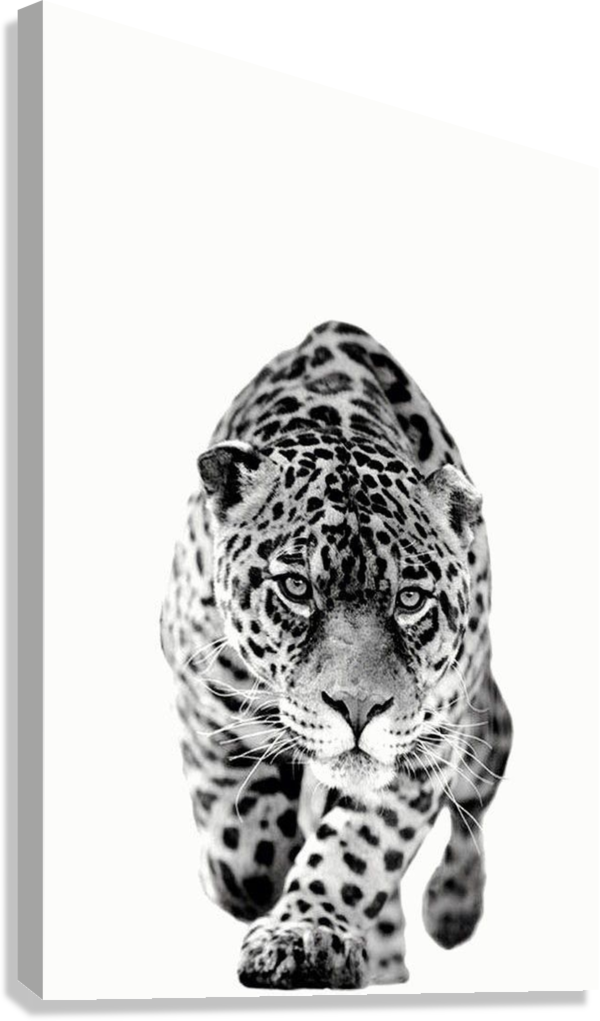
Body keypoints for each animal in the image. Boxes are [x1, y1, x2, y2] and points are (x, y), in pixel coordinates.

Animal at [160, 321, 513, 990]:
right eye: (297, 588)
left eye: (410, 599)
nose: (358, 709)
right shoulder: (198, 677)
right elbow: (240, 832)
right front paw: (247, 872)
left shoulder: (427, 743)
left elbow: (358, 849)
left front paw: (305, 934)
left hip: (481, 731)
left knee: (485, 782)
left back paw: (450, 908)